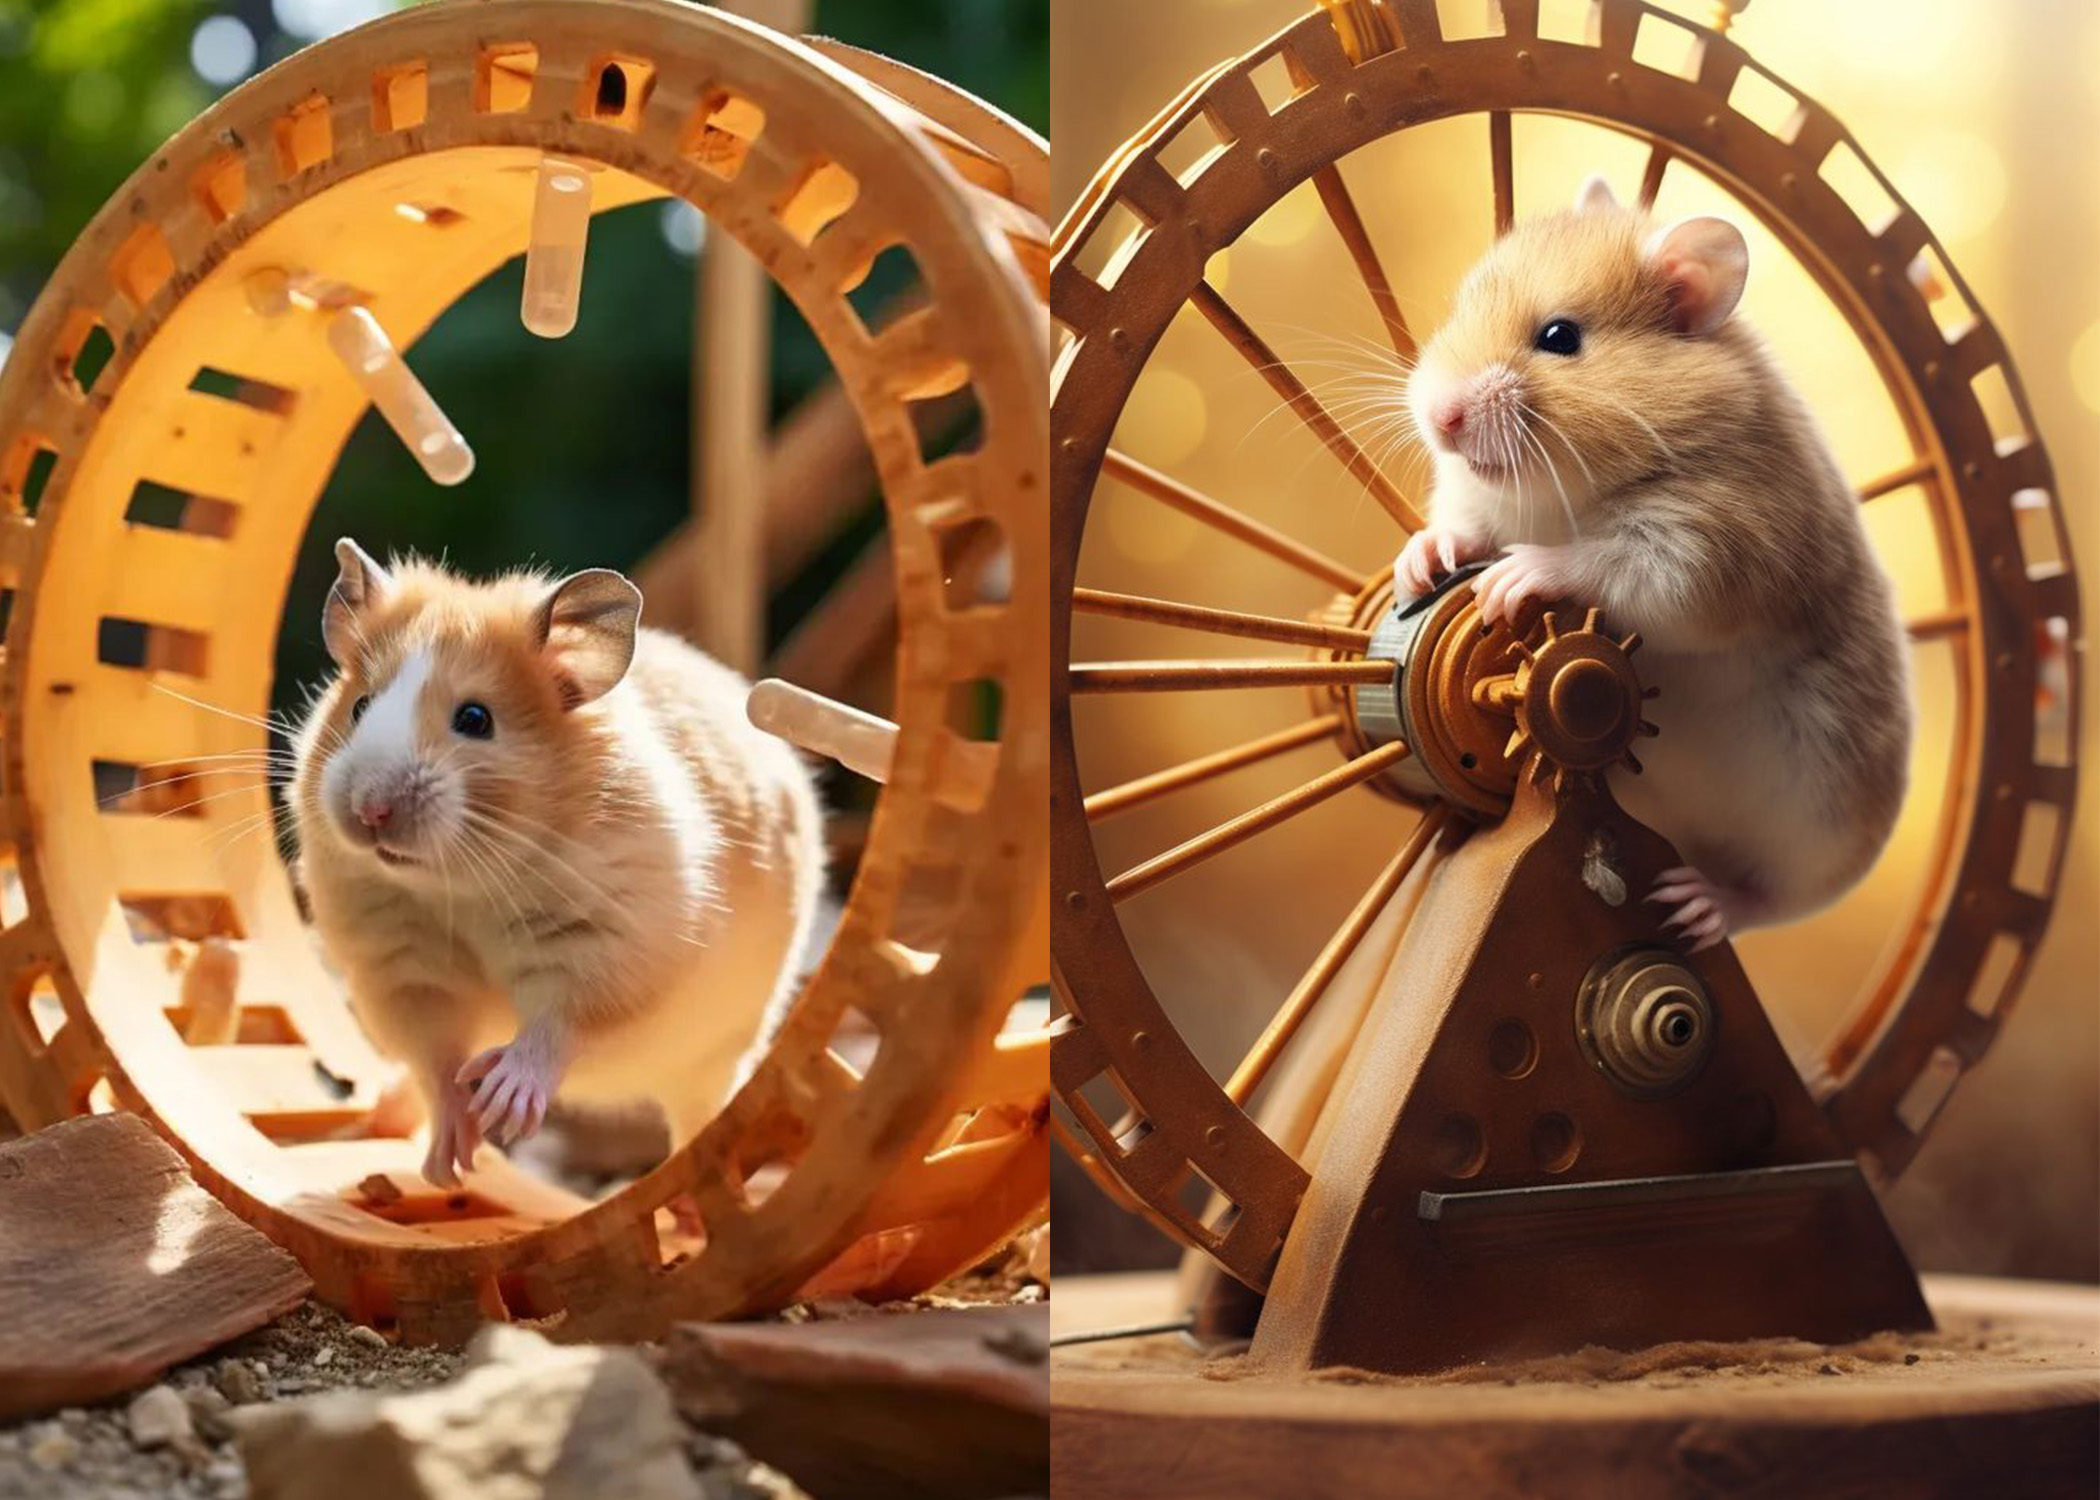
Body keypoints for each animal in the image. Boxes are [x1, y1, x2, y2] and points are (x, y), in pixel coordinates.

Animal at [291, 540, 824, 1186]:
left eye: (475, 720)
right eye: (359, 706)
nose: (370, 810)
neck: (460, 884)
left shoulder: (611, 954)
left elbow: (556, 1025)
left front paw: (503, 1100)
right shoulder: (404, 971)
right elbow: (437, 1062)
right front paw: (450, 1164)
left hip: (717, 1051)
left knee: (697, 1114)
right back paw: (381, 1122)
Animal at [1394, 178, 1911, 951]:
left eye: (1560, 338)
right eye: (1460, 306)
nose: (1440, 419)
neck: (1558, 493)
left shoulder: (1705, 547)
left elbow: (1603, 562)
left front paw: (1507, 582)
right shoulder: (1475, 499)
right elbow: (1456, 524)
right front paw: (1422, 563)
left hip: (1816, 838)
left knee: (1769, 901)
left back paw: (1690, 905)